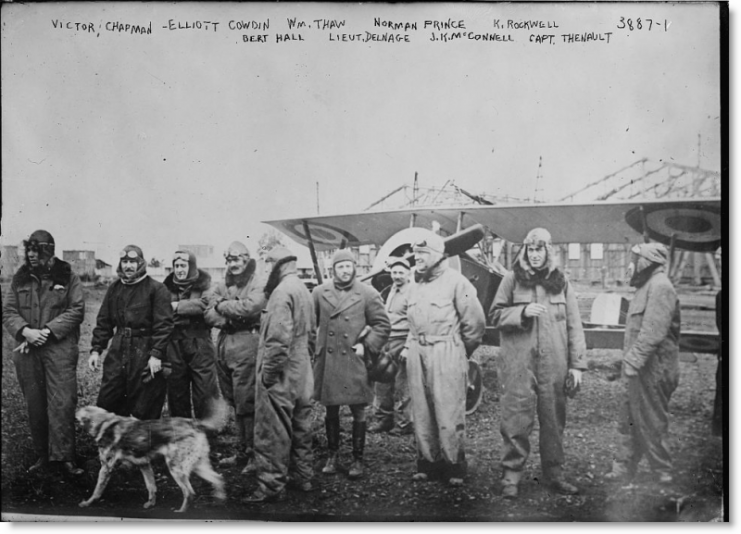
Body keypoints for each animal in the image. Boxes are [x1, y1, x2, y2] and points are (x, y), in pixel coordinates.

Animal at [75, 402, 227, 516]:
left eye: (81, 410)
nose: (75, 408)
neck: (104, 422)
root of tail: (194, 423)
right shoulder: (144, 464)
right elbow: (151, 486)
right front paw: (151, 504)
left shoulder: (106, 468)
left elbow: (97, 490)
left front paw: (87, 503)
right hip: (198, 466)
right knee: (218, 478)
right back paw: (220, 501)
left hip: (175, 468)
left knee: (189, 492)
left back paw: (181, 512)